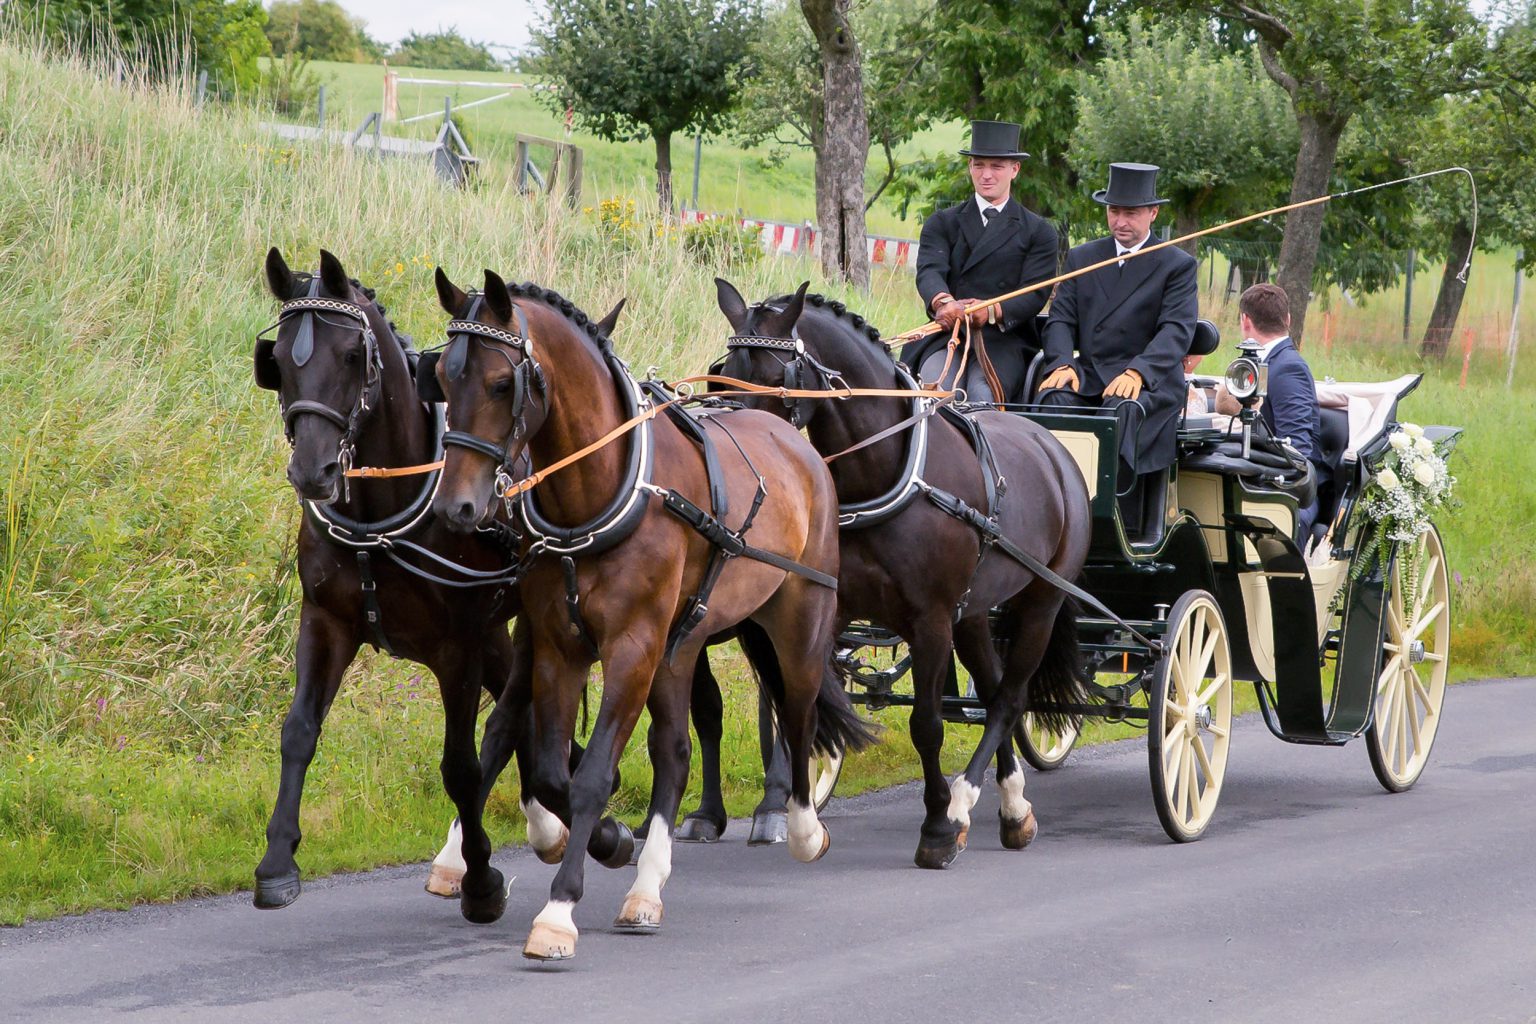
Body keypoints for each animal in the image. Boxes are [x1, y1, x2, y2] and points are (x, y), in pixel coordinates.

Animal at [427, 267, 878, 964]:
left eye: (503, 383)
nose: (458, 508)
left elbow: (589, 776)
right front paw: (599, 840)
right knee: (675, 748)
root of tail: (796, 447)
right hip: (682, 643)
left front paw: (560, 909)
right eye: (442, 380)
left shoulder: (633, 646)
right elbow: (549, 764)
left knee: (799, 708)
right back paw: (646, 886)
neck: (599, 492)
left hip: (796, 619)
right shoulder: (557, 644)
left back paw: (800, 825)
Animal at [715, 282, 1093, 872]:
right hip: (974, 612)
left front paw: (937, 828)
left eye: (776, 375)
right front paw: (791, 816)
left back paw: (964, 803)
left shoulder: (931, 622)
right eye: (723, 372)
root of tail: (1051, 445)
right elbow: (799, 702)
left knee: (1009, 700)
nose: (742, 446)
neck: (885, 472)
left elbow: (927, 725)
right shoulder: (833, 609)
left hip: (1040, 603)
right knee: (993, 691)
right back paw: (1012, 809)